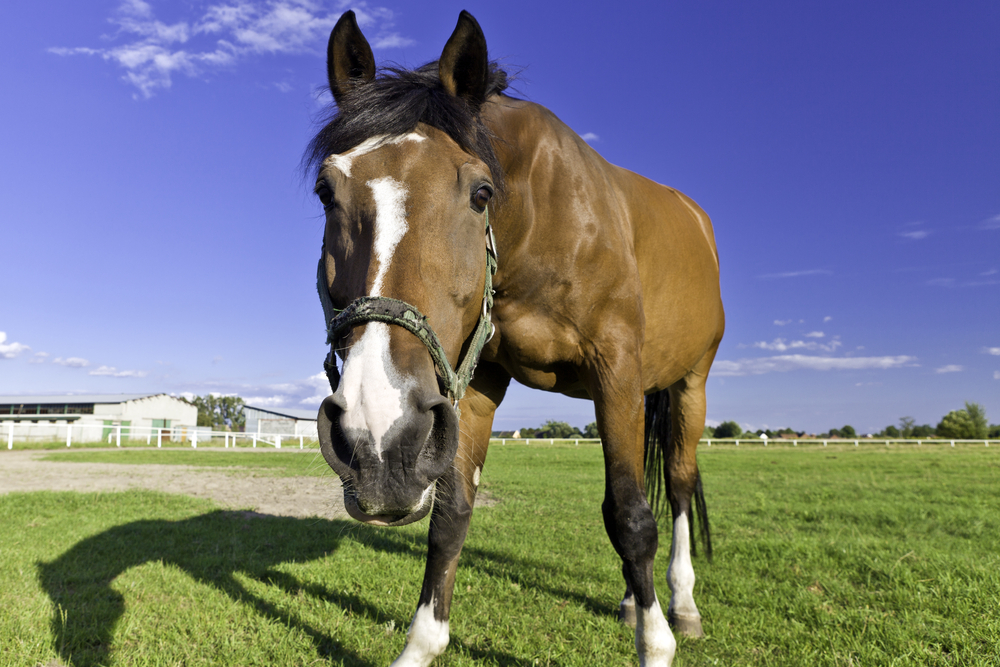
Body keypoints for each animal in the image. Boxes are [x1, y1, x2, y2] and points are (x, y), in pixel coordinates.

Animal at [310, 11, 724, 667]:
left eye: (481, 193)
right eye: (327, 191)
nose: (378, 438)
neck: (541, 223)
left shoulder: (617, 375)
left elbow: (632, 517)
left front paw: (655, 643)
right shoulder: (474, 381)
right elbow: (452, 514)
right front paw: (422, 642)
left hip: (689, 384)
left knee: (678, 488)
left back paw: (680, 604)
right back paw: (634, 601)